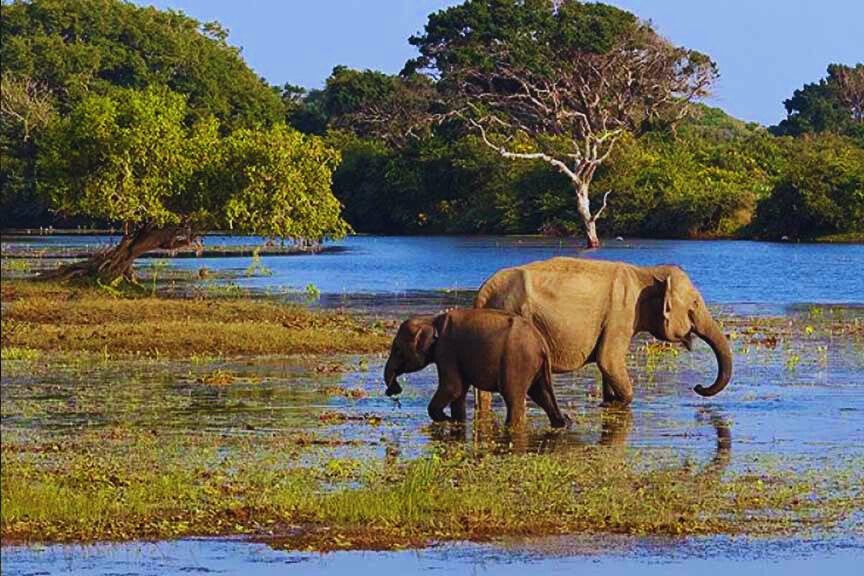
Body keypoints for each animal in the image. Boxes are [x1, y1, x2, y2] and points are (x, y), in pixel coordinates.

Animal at [384, 310, 572, 428]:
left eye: (398, 350)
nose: (394, 390)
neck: (431, 320)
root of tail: (541, 343)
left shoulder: (447, 351)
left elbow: (452, 388)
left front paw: (447, 419)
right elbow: (459, 393)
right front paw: (457, 422)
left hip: (517, 361)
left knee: (513, 398)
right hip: (535, 366)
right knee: (542, 394)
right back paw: (562, 423)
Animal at [476, 256, 732, 404]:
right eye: (695, 304)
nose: (697, 387)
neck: (646, 271)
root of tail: (483, 292)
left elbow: (607, 366)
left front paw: (609, 400)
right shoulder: (621, 313)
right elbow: (608, 360)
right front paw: (621, 401)